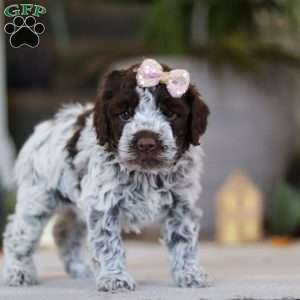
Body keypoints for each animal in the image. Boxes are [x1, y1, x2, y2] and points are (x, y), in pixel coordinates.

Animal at [2, 59, 210, 292]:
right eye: (125, 114)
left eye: (171, 114)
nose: (147, 143)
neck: (145, 173)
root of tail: (45, 127)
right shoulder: (104, 204)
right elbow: (108, 243)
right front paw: (115, 278)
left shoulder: (180, 205)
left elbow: (184, 240)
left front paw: (189, 273)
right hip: (38, 198)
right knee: (18, 234)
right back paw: (18, 272)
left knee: (63, 231)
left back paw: (78, 269)